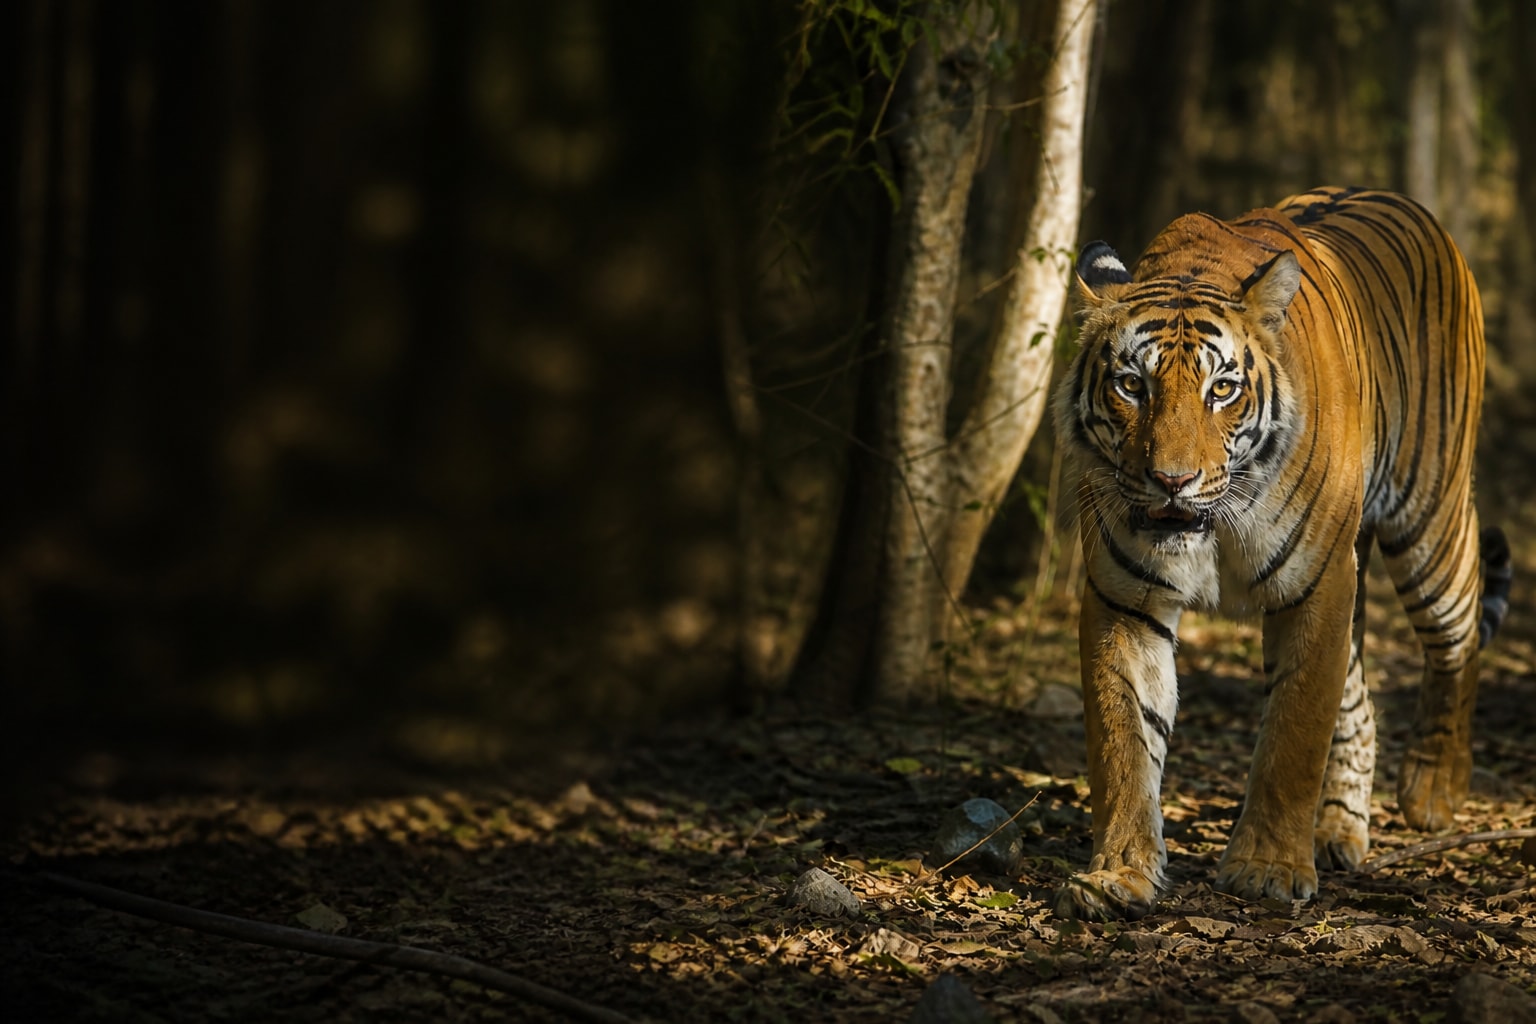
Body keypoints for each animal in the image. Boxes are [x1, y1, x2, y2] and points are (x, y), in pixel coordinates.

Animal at [1052, 186, 1511, 920]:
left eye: (1221, 390)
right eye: (1131, 386)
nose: (1172, 480)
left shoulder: (1316, 586)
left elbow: (1295, 732)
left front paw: (1266, 868)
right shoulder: (1123, 599)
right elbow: (1123, 738)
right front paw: (1118, 875)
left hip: (1429, 520)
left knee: (1457, 635)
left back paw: (1433, 790)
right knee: (1361, 702)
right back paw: (1336, 833)